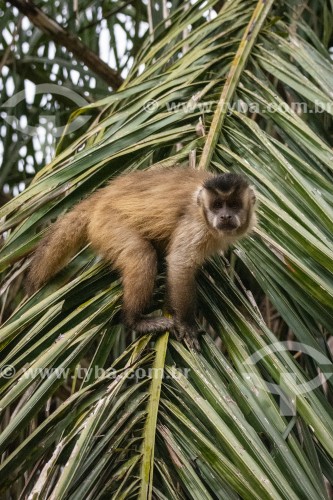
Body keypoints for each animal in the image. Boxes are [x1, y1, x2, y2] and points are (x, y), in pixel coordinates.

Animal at [26, 167, 255, 348]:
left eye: (234, 205)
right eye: (217, 206)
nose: (225, 216)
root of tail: (103, 195)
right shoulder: (196, 223)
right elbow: (180, 263)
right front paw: (186, 324)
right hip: (106, 222)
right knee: (140, 254)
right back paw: (134, 320)